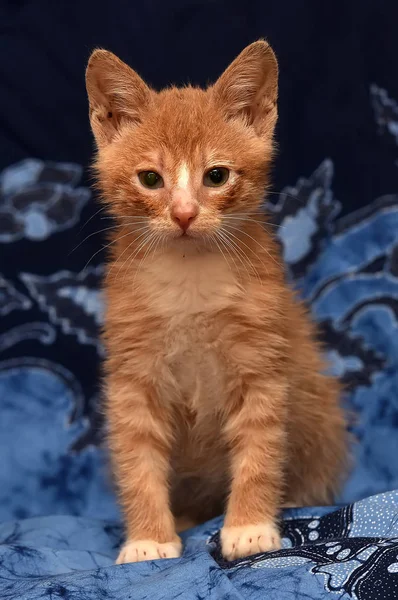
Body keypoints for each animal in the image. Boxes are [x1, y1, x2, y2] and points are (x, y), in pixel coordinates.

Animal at [85, 41, 346, 564]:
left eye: (217, 175)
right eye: (150, 179)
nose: (184, 214)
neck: (190, 276)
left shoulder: (262, 361)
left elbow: (260, 450)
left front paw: (249, 527)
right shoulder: (132, 372)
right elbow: (137, 458)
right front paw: (148, 538)